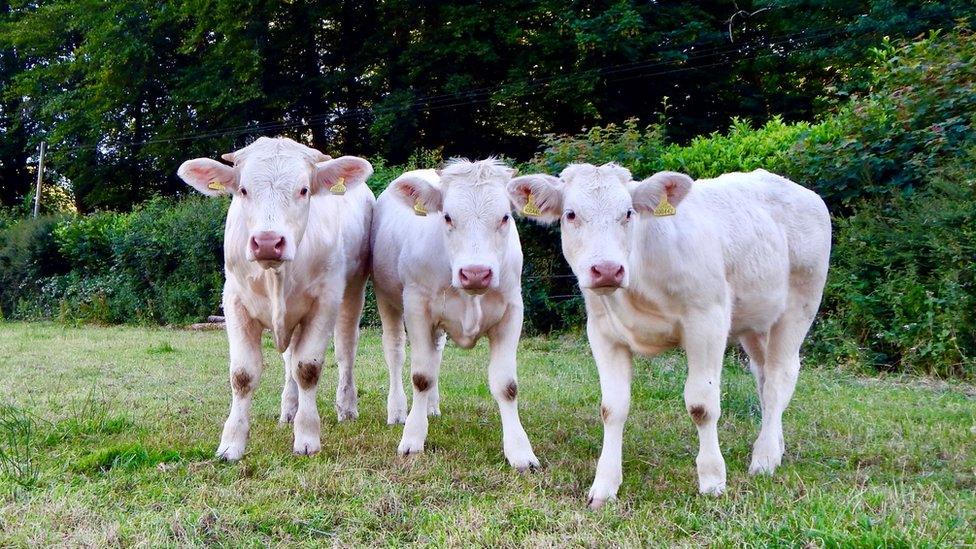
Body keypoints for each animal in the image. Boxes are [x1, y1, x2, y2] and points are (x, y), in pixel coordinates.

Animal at [175, 137, 374, 458]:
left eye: (304, 190)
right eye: (243, 190)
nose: (268, 242)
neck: (276, 276)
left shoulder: (325, 301)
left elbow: (308, 368)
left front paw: (307, 437)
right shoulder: (234, 300)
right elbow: (243, 374)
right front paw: (231, 443)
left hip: (354, 290)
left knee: (345, 350)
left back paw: (346, 407)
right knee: (289, 358)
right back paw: (289, 409)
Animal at [372, 158, 540, 470]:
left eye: (505, 217)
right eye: (447, 217)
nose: (475, 273)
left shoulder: (512, 310)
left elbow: (507, 385)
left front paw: (520, 452)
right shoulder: (416, 307)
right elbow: (421, 376)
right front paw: (412, 438)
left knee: (435, 354)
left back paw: (432, 407)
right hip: (386, 299)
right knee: (395, 352)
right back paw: (398, 410)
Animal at [510, 163, 832, 506]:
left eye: (628, 212)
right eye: (570, 214)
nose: (607, 269)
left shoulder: (708, 321)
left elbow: (702, 405)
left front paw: (712, 480)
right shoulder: (603, 332)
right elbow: (612, 408)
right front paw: (605, 486)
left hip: (800, 303)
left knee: (778, 378)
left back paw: (765, 458)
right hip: (755, 320)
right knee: (764, 376)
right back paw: (775, 445)